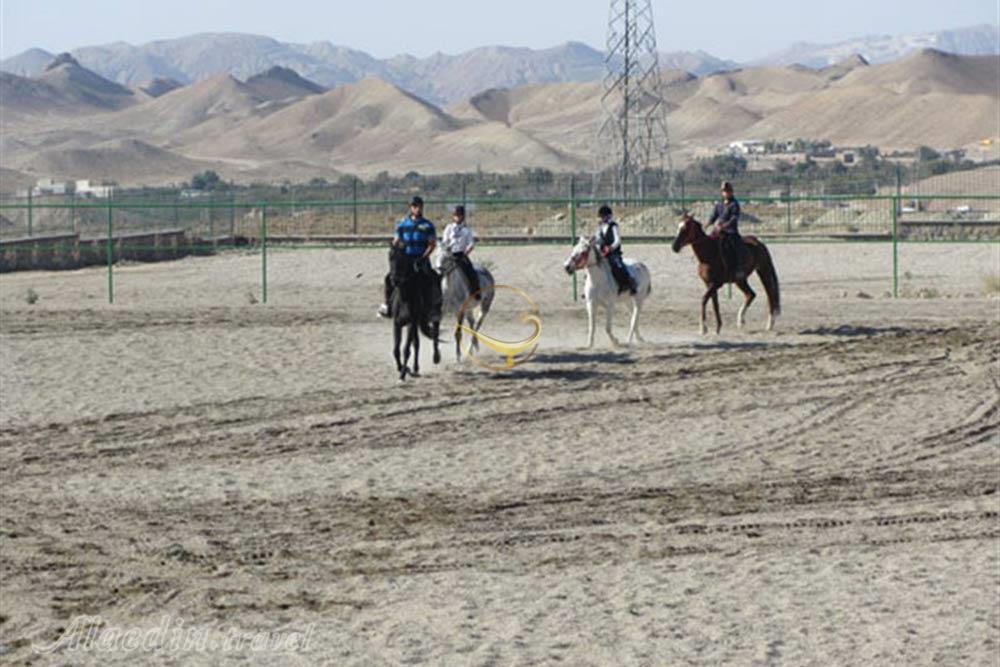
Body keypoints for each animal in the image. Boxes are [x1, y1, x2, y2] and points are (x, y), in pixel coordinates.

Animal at [388, 245, 440, 380]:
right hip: (416, 324)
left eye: (402, 259)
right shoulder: (397, 323)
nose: (395, 279)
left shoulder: (411, 323)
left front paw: (402, 374)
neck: (405, 296)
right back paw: (415, 368)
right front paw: (404, 368)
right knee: (416, 343)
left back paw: (436, 357)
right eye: (390, 258)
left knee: (435, 334)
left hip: (434, 316)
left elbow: (406, 349)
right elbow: (396, 350)